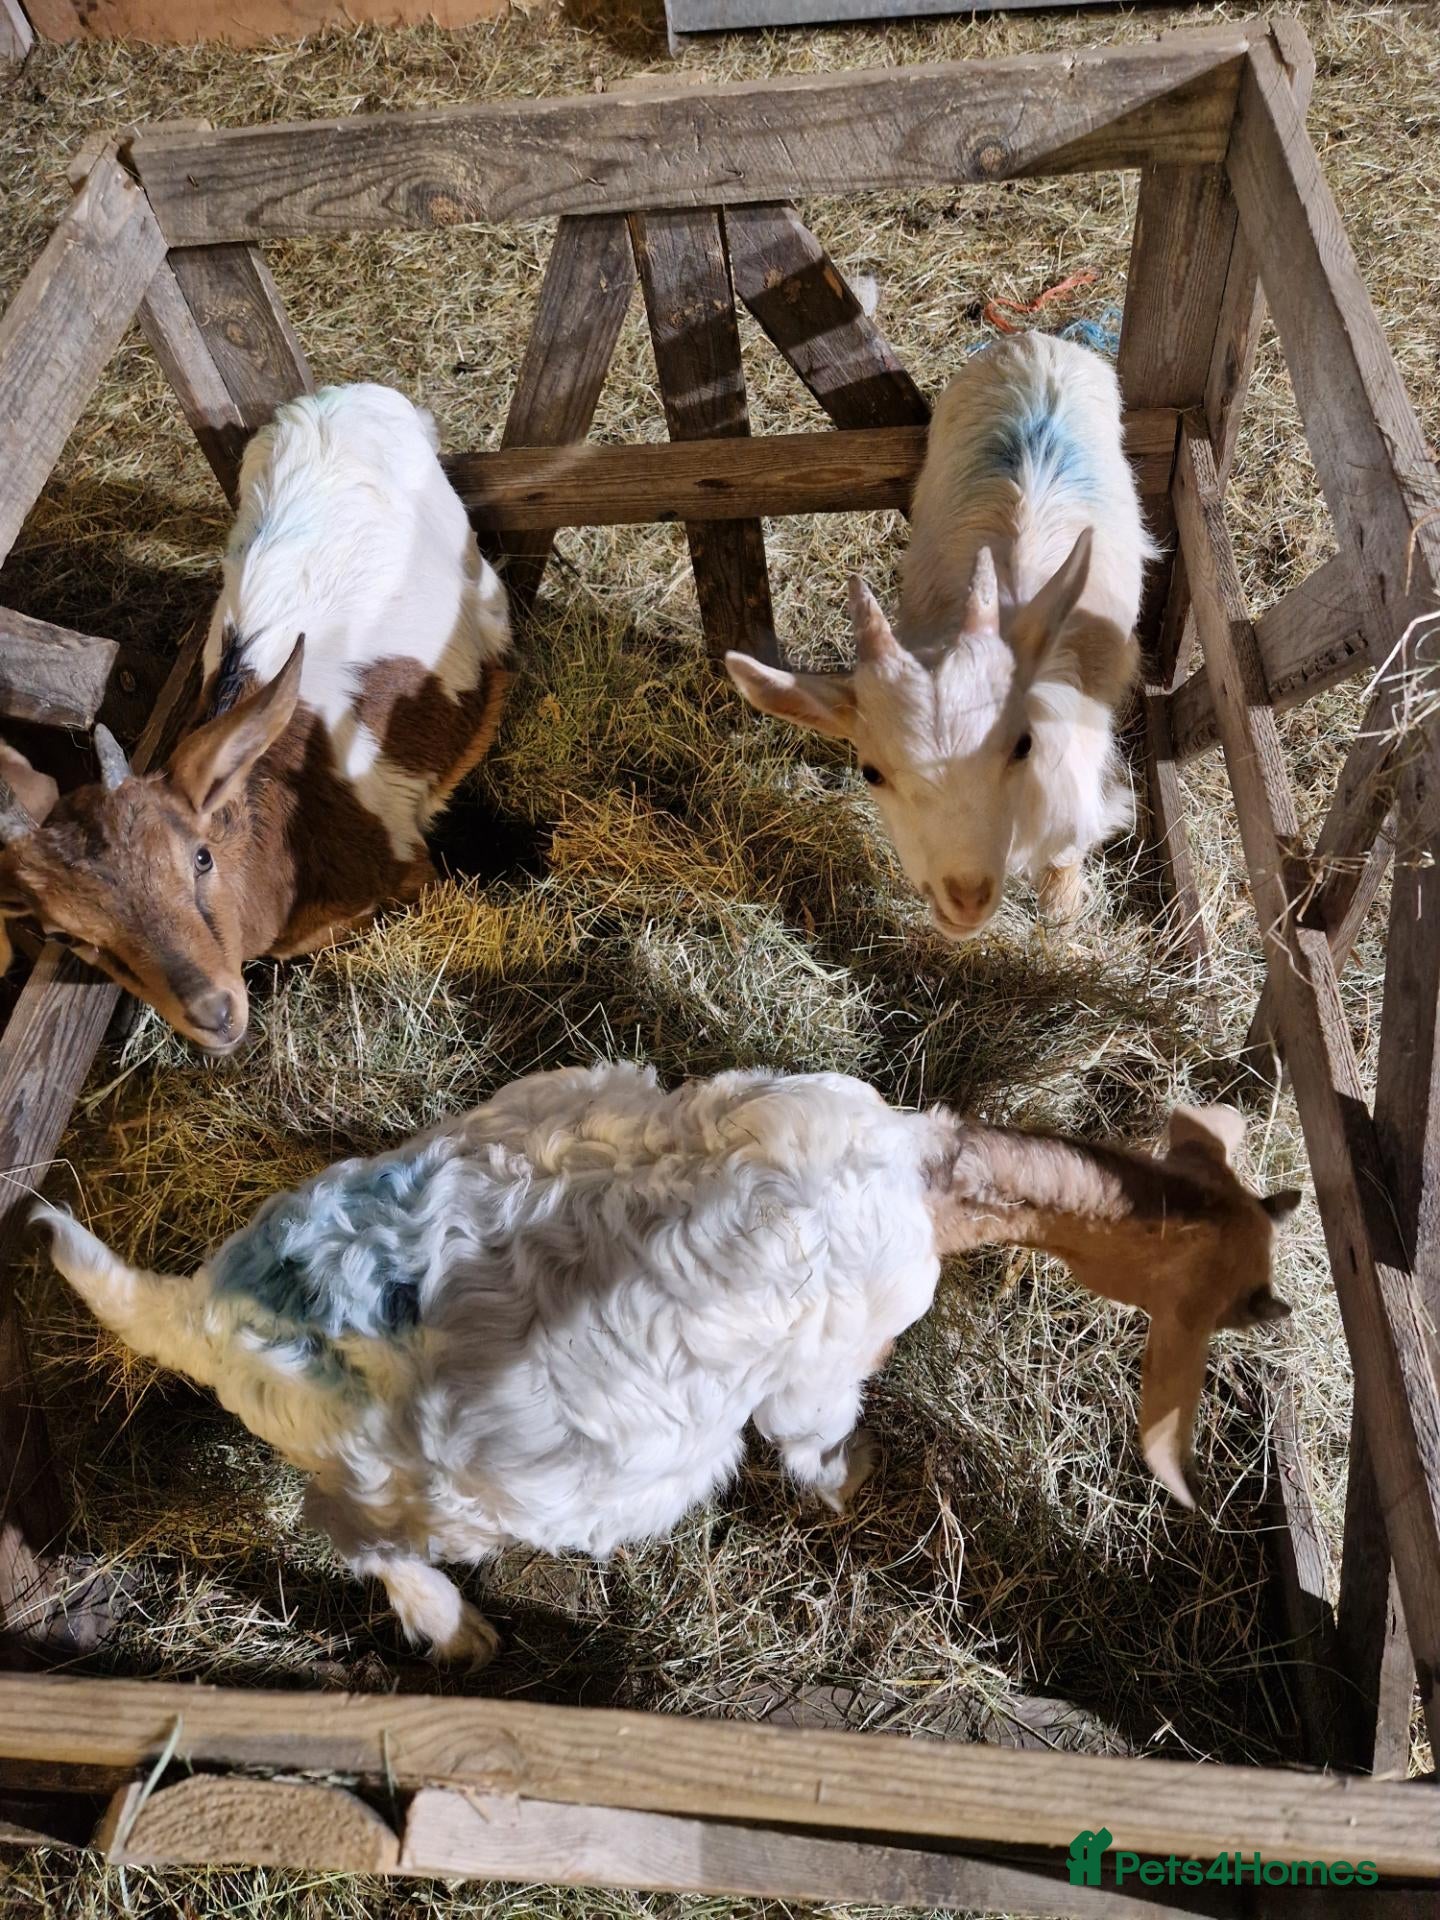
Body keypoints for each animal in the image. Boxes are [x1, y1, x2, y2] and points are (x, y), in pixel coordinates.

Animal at [36, 1063, 1298, 1665]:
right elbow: (811, 1442)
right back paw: (455, 1628)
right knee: (350, 1536)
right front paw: (851, 1489)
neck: (928, 1177)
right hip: (419, 1492)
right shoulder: (824, 1367)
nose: (1278, 1316)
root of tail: (206, 1308)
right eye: (1239, 1293)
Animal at [726, 331, 1155, 938]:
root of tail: (1034, 339)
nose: (967, 896)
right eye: (871, 773)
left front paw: (1062, 911)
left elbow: (1068, 849)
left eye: (1021, 745)